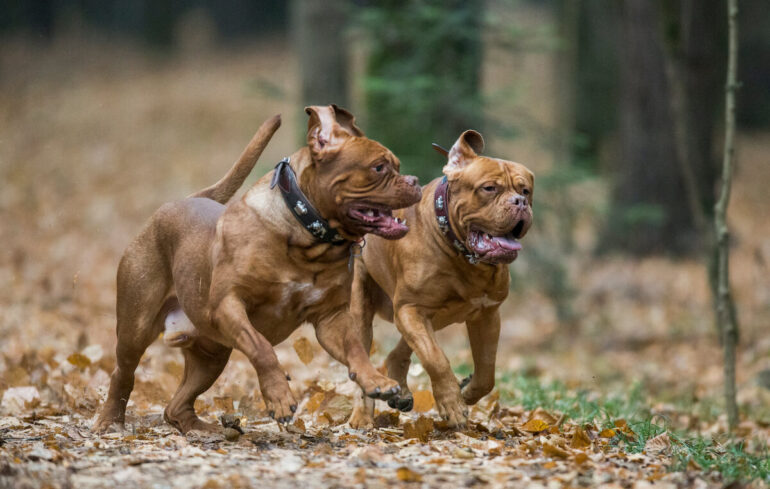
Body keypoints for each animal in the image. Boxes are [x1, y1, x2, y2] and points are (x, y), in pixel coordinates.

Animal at [96, 105, 424, 432]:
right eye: (379, 168)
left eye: (397, 165)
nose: (415, 180)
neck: (307, 237)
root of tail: (183, 201)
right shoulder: (229, 304)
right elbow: (262, 348)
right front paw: (279, 397)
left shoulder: (331, 318)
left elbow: (356, 348)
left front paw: (375, 380)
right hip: (136, 327)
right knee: (123, 374)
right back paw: (110, 420)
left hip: (212, 355)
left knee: (176, 405)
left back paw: (204, 429)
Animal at [346, 130, 532, 428]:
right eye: (489, 188)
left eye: (526, 191)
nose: (520, 202)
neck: (462, 254)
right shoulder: (411, 309)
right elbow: (436, 358)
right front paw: (452, 404)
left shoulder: (487, 314)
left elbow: (487, 371)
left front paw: (467, 392)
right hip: (365, 310)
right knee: (364, 360)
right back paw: (362, 416)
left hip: (433, 316)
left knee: (399, 352)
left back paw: (400, 392)